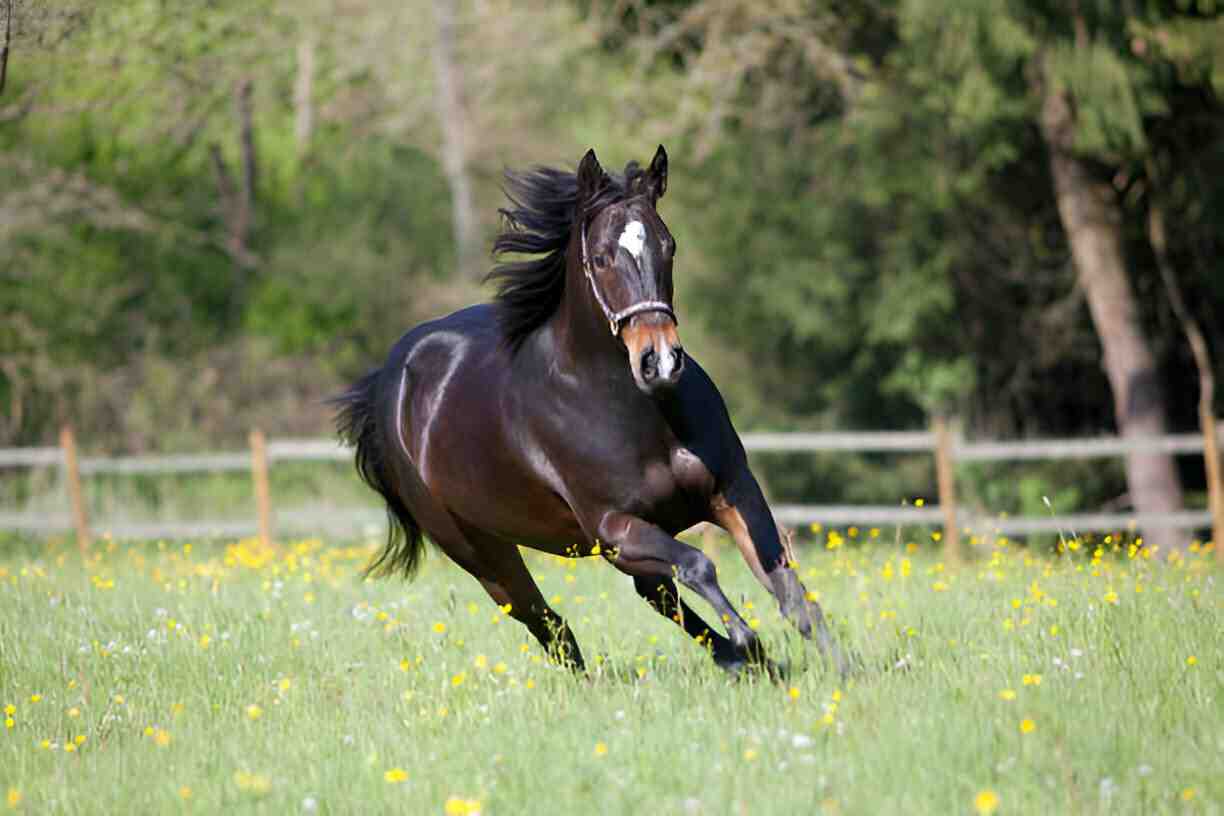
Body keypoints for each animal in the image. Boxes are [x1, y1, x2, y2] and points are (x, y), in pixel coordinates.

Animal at [334, 145, 847, 677]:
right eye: (601, 258)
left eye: (669, 247)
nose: (660, 361)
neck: (636, 413)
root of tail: (390, 379)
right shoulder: (614, 525)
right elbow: (699, 565)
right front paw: (749, 638)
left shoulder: (732, 491)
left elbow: (788, 590)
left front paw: (839, 672)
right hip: (480, 549)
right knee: (547, 621)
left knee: (649, 596)